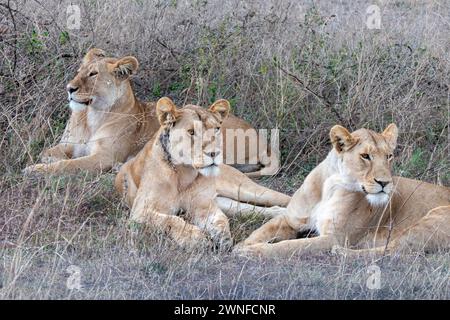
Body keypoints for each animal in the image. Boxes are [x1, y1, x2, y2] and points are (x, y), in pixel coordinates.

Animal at [25, 48, 278, 176]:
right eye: (79, 71)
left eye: (93, 74)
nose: (69, 88)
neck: (90, 116)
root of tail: (260, 137)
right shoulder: (70, 145)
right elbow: (48, 152)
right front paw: (46, 159)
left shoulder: (103, 157)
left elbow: (67, 165)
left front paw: (34, 169)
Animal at [118, 96, 290, 249]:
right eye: (191, 132)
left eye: (217, 129)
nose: (215, 153)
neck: (184, 174)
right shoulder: (140, 212)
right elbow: (171, 220)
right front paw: (195, 238)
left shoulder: (203, 205)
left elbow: (220, 219)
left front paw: (222, 236)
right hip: (227, 203)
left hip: (246, 190)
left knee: (282, 199)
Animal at [236, 124, 450, 258]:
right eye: (365, 156)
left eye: (389, 156)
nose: (385, 182)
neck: (331, 186)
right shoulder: (290, 219)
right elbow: (260, 231)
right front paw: (241, 246)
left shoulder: (334, 237)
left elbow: (289, 246)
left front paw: (253, 252)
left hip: (431, 219)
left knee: (397, 250)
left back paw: (342, 253)